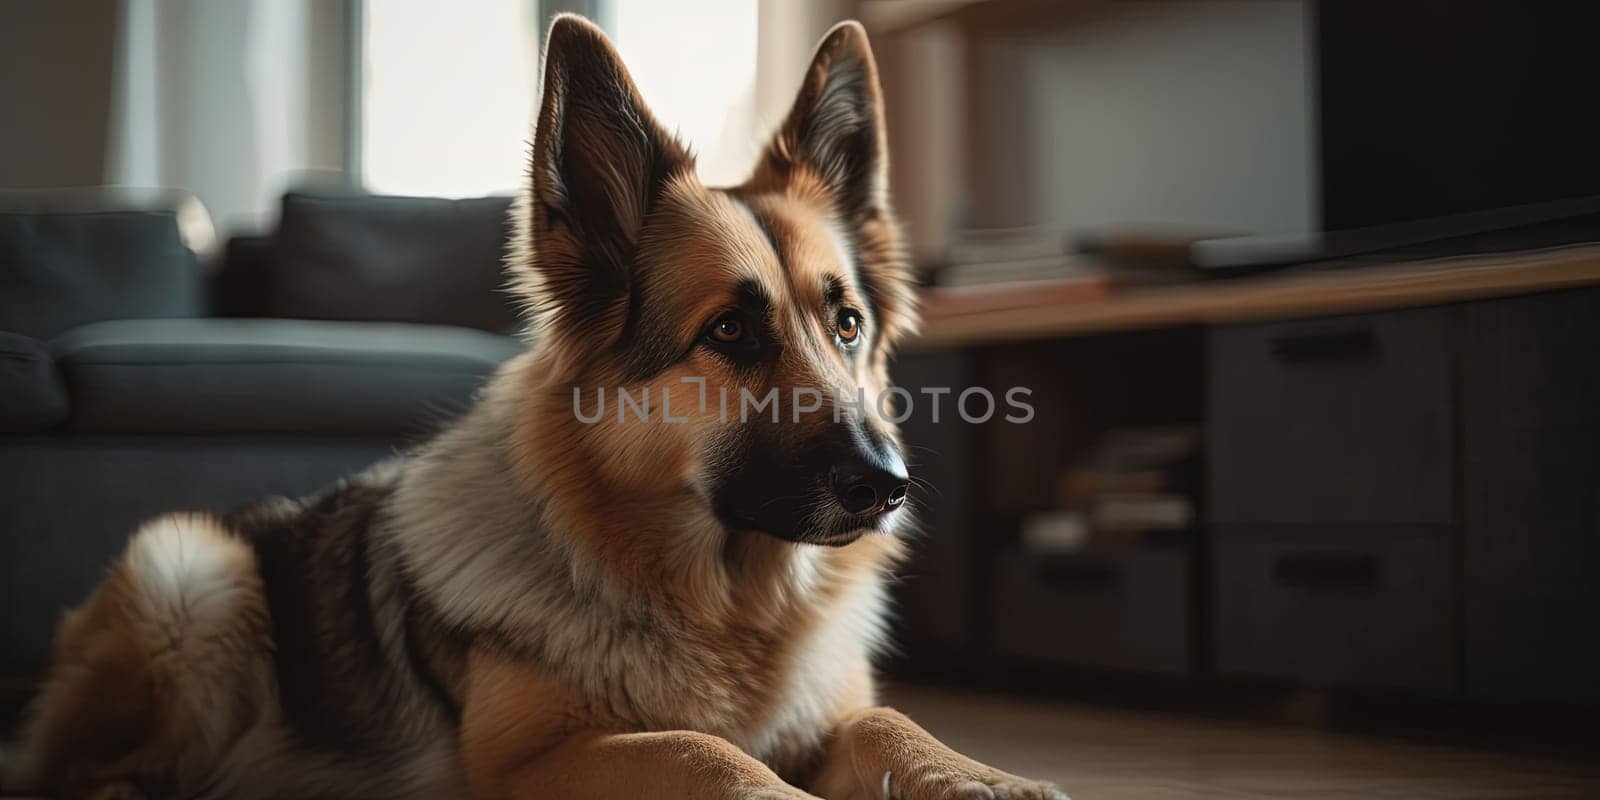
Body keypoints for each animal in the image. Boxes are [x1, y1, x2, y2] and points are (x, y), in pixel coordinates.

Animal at [9, 14, 1062, 800]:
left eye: (846, 324)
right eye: (728, 331)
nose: (889, 487)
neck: (721, 606)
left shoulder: (831, 714)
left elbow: (890, 719)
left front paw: (980, 776)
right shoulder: (527, 765)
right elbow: (706, 751)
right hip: (192, 568)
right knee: (85, 772)